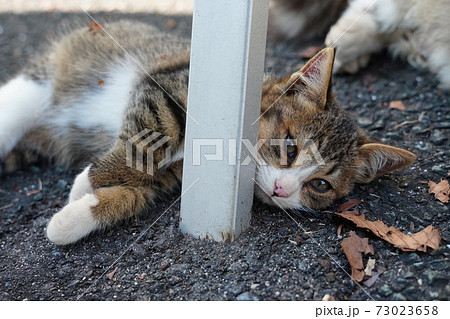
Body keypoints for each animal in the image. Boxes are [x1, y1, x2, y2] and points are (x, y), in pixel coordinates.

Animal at [0, 20, 414, 245]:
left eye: (321, 185)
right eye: (289, 147)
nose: (282, 189)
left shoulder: (174, 176)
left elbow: (137, 192)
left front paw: (72, 216)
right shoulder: (166, 89)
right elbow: (146, 144)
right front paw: (86, 182)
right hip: (39, 86)